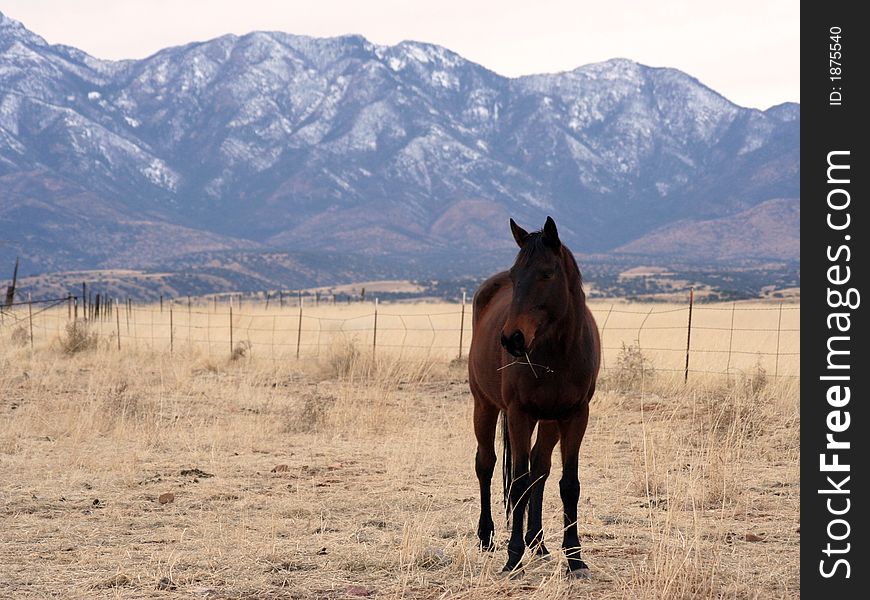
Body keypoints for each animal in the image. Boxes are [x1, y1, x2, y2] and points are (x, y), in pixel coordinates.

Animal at [470, 216, 600, 576]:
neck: (558, 352)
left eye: (546, 273)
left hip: (550, 421)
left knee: (540, 469)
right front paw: (513, 558)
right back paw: (487, 537)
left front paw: (575, 557)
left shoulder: (575, 415)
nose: (512, 339)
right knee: (486, 464)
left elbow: (567, 484)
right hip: (483, 406)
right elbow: (518, 482)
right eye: (515, 276)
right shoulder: (519, 414)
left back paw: (538, 543)